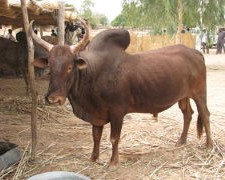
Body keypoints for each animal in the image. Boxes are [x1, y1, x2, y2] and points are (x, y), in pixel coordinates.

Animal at [29, 19, 213, 165]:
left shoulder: (117, 113)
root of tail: (196, 52)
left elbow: (114, 138)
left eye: (69, 67)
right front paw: (93, 158)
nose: (53, 99)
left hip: (199, 94)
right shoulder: (96, 115)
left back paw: (209, 145)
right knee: (187, 114)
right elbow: (96, 136)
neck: (93, 73)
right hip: (183, 97)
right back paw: (181, 141)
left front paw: (113, 161)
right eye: (50, 66)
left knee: (205, 114)